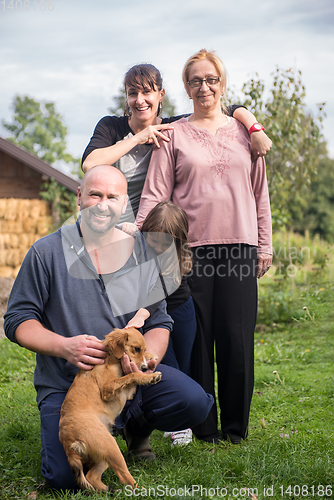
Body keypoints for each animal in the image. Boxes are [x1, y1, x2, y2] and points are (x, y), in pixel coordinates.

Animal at [58, 328, 162, 492]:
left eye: (143, 349)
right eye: (136, 349)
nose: (146, 368)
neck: (110, 358)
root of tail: (69, 443)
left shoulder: (126, 392)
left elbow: (130, 377)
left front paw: (150, 356)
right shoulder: (108, 389)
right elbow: (132, 374)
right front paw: (149, 376)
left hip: (103, 456)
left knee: (92, 477)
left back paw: (111, 491)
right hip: (111, 447)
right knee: (125, 478)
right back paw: (143, 490)